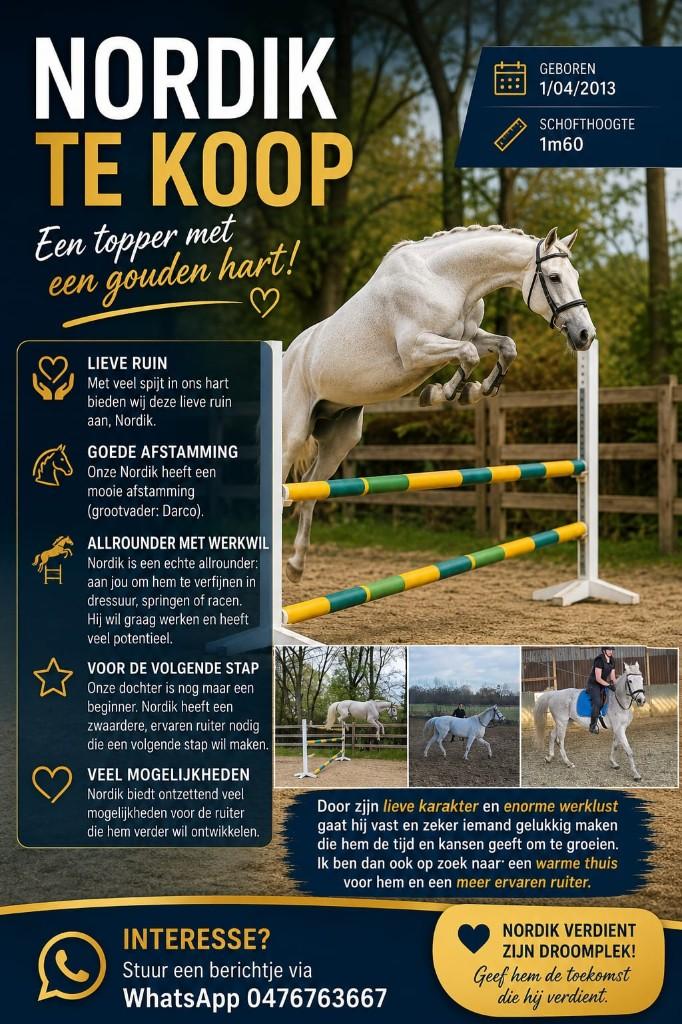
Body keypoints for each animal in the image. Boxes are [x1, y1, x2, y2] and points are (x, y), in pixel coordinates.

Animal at [283, 224, 596, 582]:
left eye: (575, 275)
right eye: (555, 277)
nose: (586, 335)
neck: (445, 279)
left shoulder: (468, 335)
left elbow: (505, 346)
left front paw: (473, 390)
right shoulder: (416, 349)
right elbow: (469, 355)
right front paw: (441, 393)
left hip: (339, 439)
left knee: (309, 490)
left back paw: (295, 565)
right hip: (291, 435)